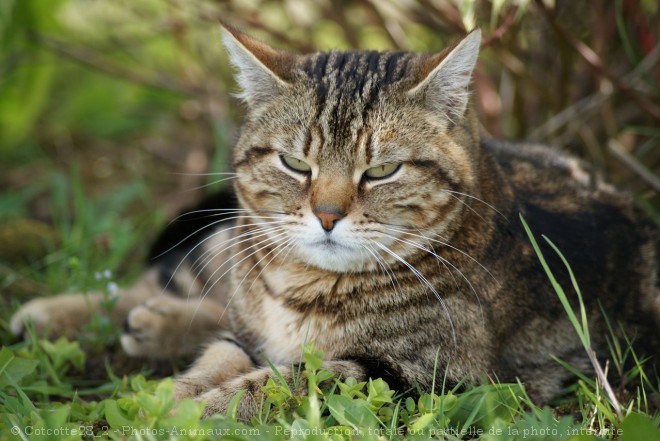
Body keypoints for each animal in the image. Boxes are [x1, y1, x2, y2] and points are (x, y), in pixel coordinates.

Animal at [10, 25, 660, 418]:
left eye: (383, 170)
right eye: (296, 164)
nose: (326, 215)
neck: (301, 291)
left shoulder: (420, 377)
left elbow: (283, 379)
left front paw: (190, 408)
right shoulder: (250, 324)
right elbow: (225, 354)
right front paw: (173, 395)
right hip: (231, 240)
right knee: (181, 286)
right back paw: (60, 315)